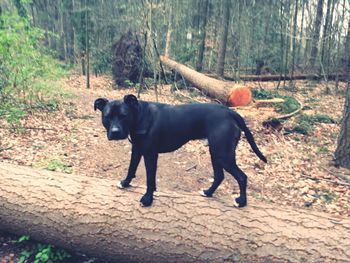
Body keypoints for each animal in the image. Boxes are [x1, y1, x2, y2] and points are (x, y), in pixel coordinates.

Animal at [94, 95, 266, 208]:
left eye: (124, 115)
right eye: (107, 116)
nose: (115, 132)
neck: (139, 115)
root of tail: (231, 112)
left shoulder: (150, 154)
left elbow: (150, 179)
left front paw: (147, 199)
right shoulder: (137, 149)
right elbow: (131, 168)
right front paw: (125, 183)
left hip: (222, 154)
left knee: (242, 177)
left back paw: (241, 202)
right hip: (216, 153)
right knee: (219, 175)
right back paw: (208, 192)